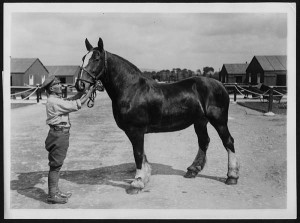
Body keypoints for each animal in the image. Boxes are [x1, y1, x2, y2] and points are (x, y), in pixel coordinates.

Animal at [75, 37, 239, 189]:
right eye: (83, 58)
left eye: (97, 59)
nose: (80, 84)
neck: (131, 89)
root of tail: (220, 85)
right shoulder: (133, 131)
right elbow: (141, 154)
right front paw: (145, 176)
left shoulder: (136, 130)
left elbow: (138, 153)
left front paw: (137, 182)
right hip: (200, 121)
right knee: (204, 141)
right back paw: (193, 170)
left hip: (219, 121)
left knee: (228, 141)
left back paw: (232, 176)